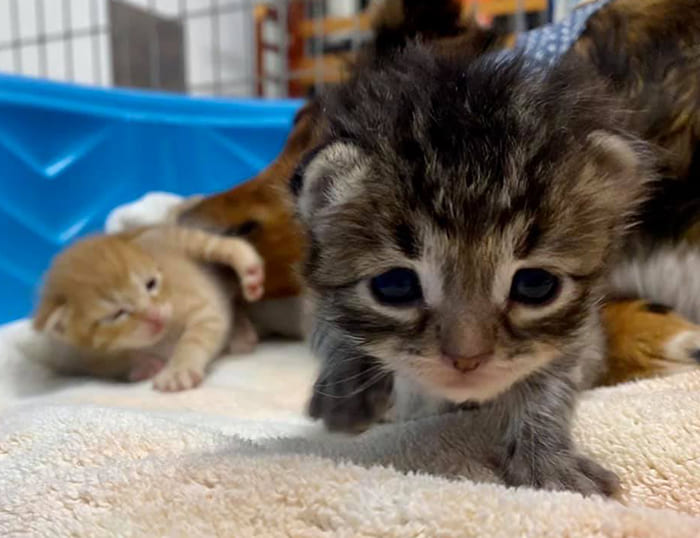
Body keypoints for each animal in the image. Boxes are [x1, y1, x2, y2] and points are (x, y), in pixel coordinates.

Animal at [32, 224, 266, 392]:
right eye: (117, 314)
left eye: (151, 284)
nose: (155, 315)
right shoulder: (80, 358)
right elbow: (111, 363)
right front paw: (143, 365)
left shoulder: (201, 307)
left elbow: (196, 337)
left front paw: (178, 370)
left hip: (179, 238)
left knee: (214, 244)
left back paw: (248, 269)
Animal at [290, 47, 656, 494]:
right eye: (394, 285)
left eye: (536, 285)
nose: (467, 359)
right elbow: (331, 324)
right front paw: (345, 384)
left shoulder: (583, 333)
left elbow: (556, 371)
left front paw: (545, 454)